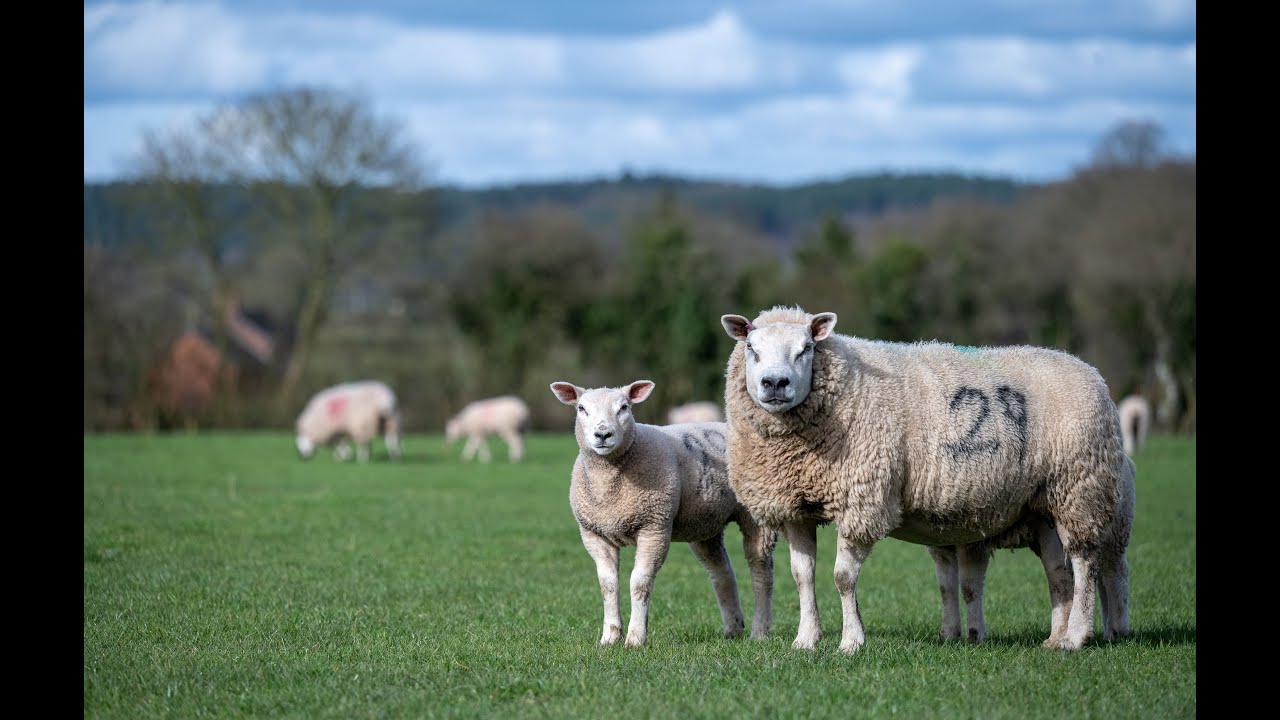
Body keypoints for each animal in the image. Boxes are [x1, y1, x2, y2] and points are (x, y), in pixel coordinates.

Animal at [549, 379, 777, 648]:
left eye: (624, 407)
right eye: (581, 409)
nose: (603, 434)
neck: (609, 484)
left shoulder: (654, 527)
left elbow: (640, 583)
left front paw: (635, 639)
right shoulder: (594, 533)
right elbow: (608, 585)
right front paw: (610, 638)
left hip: (756, 515)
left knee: (761, 572)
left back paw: (760, 632)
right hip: (705, 525)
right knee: (723, 573)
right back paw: (733, 628)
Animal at [720, 305, 1130, 653]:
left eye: (805, 349)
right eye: (752, 349)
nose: (775, 383)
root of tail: (1089, 370)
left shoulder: (862, 501)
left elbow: (842, 577)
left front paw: (851, 642)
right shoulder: (795, 507)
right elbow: (802, 576)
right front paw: (805, 640)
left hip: (1081, 487)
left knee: (1086, 564)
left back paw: (1077, 637)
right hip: (1043, 508)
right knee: (1059, 574)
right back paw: (1055, 638)